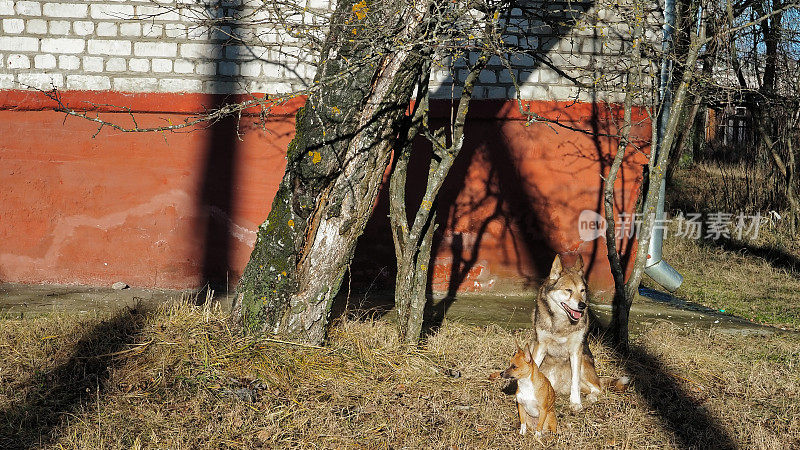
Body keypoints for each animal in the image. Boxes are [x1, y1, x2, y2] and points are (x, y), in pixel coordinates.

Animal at [536, 255, 628, 410]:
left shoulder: (576, 351)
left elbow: (575, 381)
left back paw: (591, 397)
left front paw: (575, 402)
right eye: (568, 290)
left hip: (584, 363)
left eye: (582, 290)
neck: (562, 324)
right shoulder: (540, 346)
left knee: (597, 387)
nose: (582, 305)